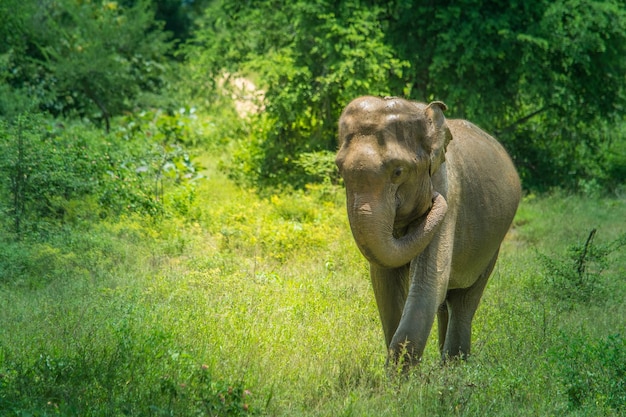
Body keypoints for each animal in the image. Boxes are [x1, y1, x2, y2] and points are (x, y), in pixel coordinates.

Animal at [334, 96, 520, 366]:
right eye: (340, 170)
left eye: (398, 171)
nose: (434, 198)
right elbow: (384, 283)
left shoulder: (448, 191)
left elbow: (429, 283)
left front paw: (400, 375)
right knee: (446, 303)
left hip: (493, 245)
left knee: (463, 302)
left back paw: (454, 367)